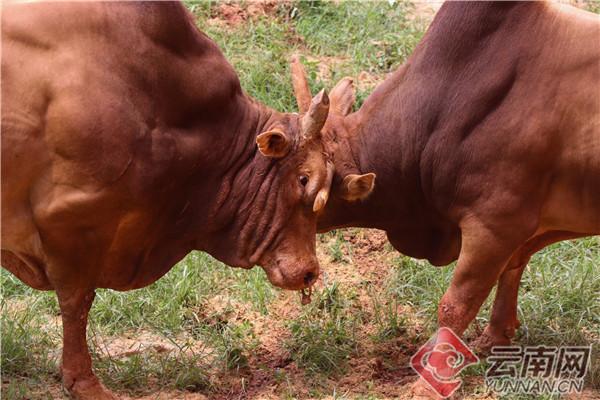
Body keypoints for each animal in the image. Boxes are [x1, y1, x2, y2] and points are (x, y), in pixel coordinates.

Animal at [292, 1, 596, 396]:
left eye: (304, 179)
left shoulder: (495, 225)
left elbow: (455, 306)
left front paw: (429, 382)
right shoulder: (521, 229)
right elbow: (511, 270)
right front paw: (495, 338)